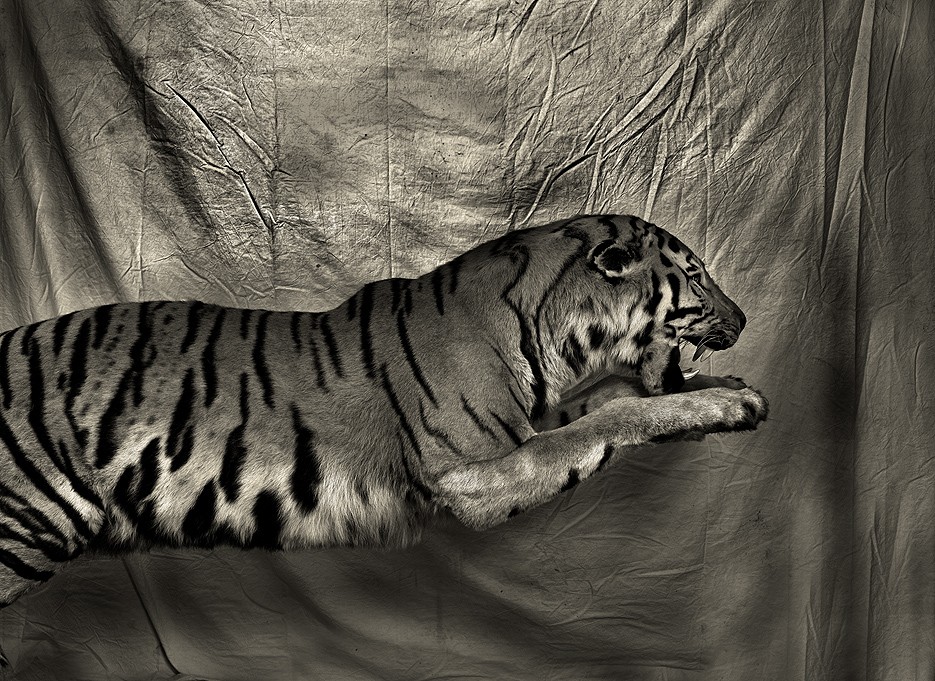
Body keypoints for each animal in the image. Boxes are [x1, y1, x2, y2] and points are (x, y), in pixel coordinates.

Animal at [0, 214, 768, 667]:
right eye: (695, 277)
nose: (743, 319)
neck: (555, 336)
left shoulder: (529, 425)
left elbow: (611, 402)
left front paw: (721, 389)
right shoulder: (474, 472)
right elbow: (610, 418)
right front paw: (728, 400)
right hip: (22, 529)